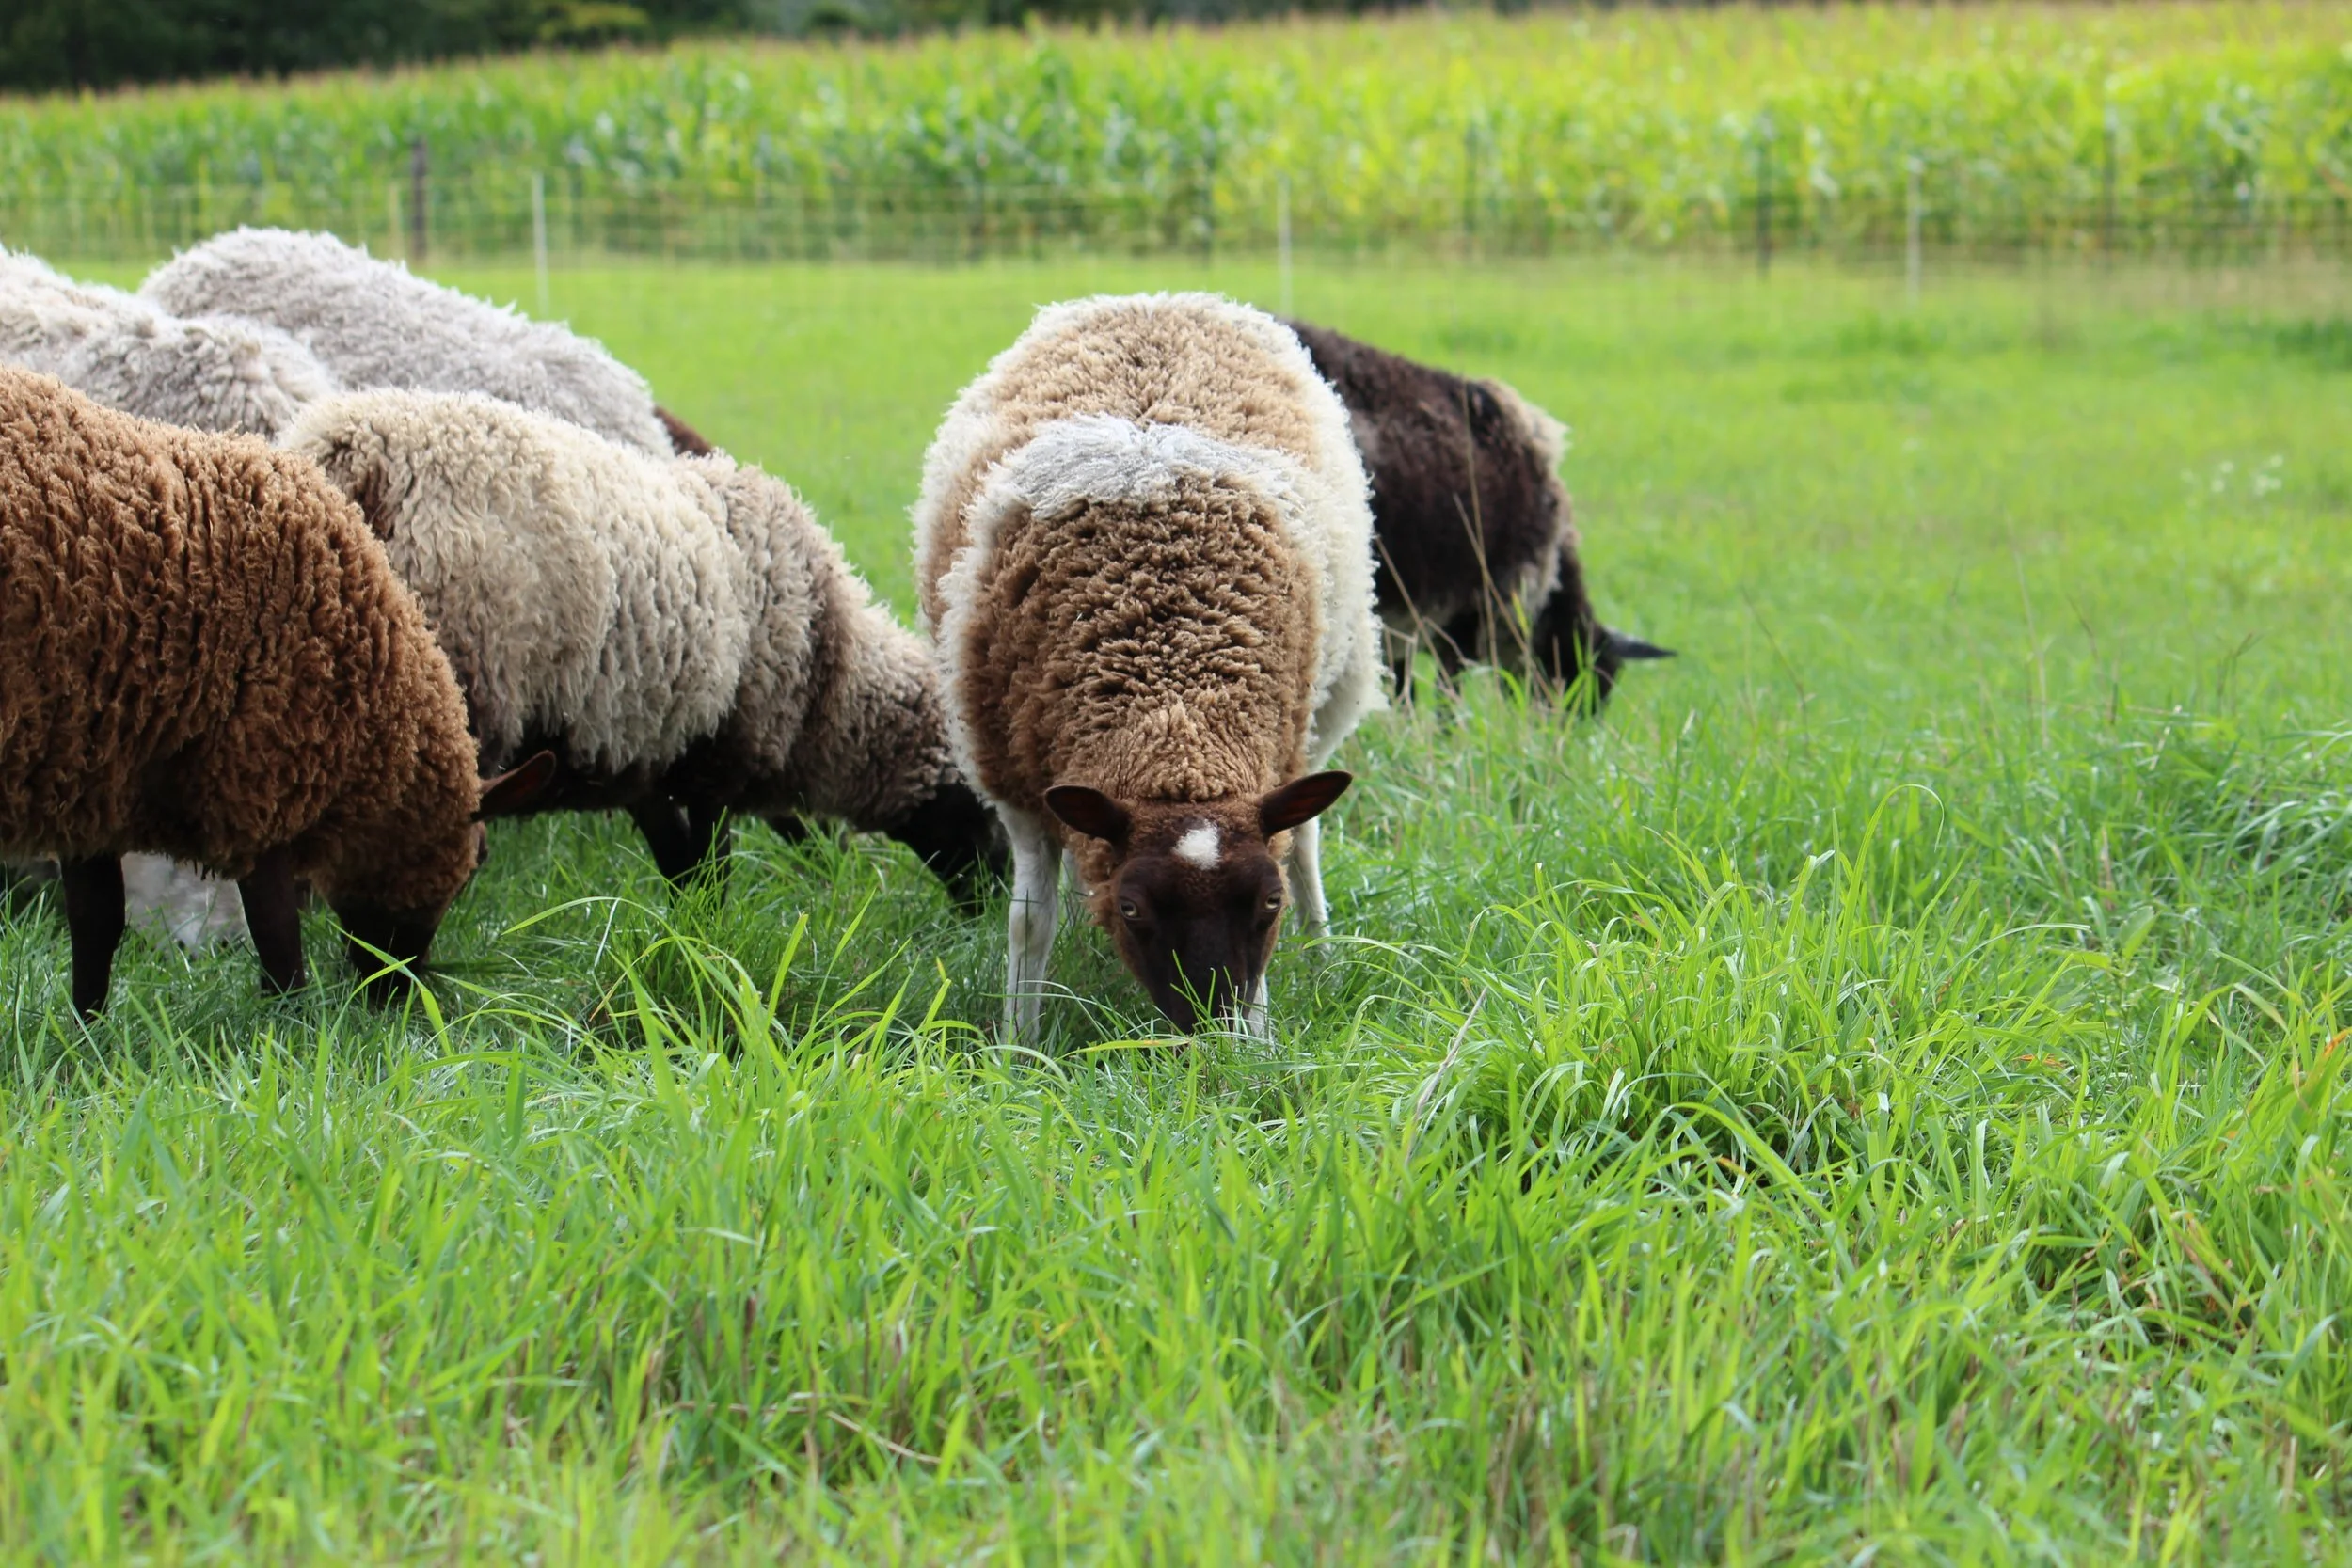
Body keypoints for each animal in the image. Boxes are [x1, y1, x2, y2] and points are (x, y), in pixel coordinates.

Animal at [0, 369, 548, 1017]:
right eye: (472, 863)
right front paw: (292, 1027)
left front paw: (88, 1028)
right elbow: (279, 942)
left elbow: (96, 924)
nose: (395, 994)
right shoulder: (260, 777)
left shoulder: (93, 776)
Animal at [284, 390, 1002, 904]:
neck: (828, 675)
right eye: (979, 805)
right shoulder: (719, 756)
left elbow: (678, 864)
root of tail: (358, 454)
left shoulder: (638, 755)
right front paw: (713, 936)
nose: (988, 904)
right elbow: (709, 867)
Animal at [914, 292, 1382, 1038]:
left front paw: (1261, 1041)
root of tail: (1155, 300)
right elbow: (1028, 924)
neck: (1173, 701)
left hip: (1325, 707)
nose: (1211, 1029)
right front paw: (1019, 1042)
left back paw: (1323, 953)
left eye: (1268, 903)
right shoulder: (1015, 782)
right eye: (1133, 909)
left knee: (1306, 836)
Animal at [1282, 320, 1671, 706]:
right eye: (1592, 680)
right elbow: (1446, 693)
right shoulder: (1470, 608)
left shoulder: (1404, 619)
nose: (1573, 724)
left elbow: (1403, 687)